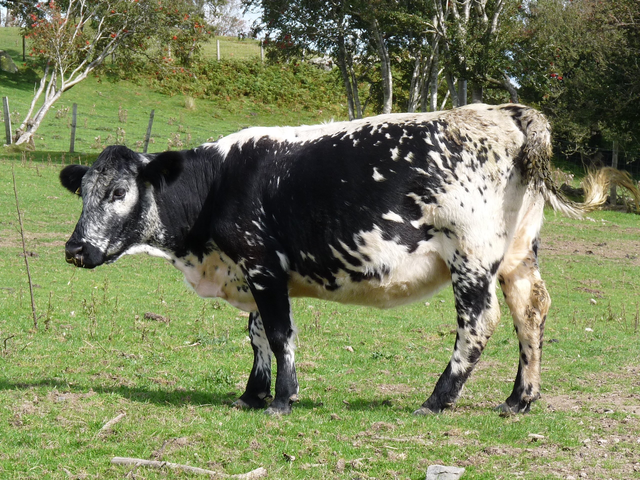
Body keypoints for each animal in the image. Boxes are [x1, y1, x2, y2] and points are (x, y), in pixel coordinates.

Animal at [60, 103, 610, 416]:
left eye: (119, 191)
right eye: (83, 191)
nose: (75, 249)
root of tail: (509, 111)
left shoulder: (262, 264)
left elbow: (279, 333)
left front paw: (282, 399)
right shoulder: (255, 275)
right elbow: (257, 335)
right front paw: (252, 394)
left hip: (471, 256)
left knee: (479, 324)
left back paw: (436, 400)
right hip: (519, 255)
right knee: (531, 313)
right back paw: (519, 400)